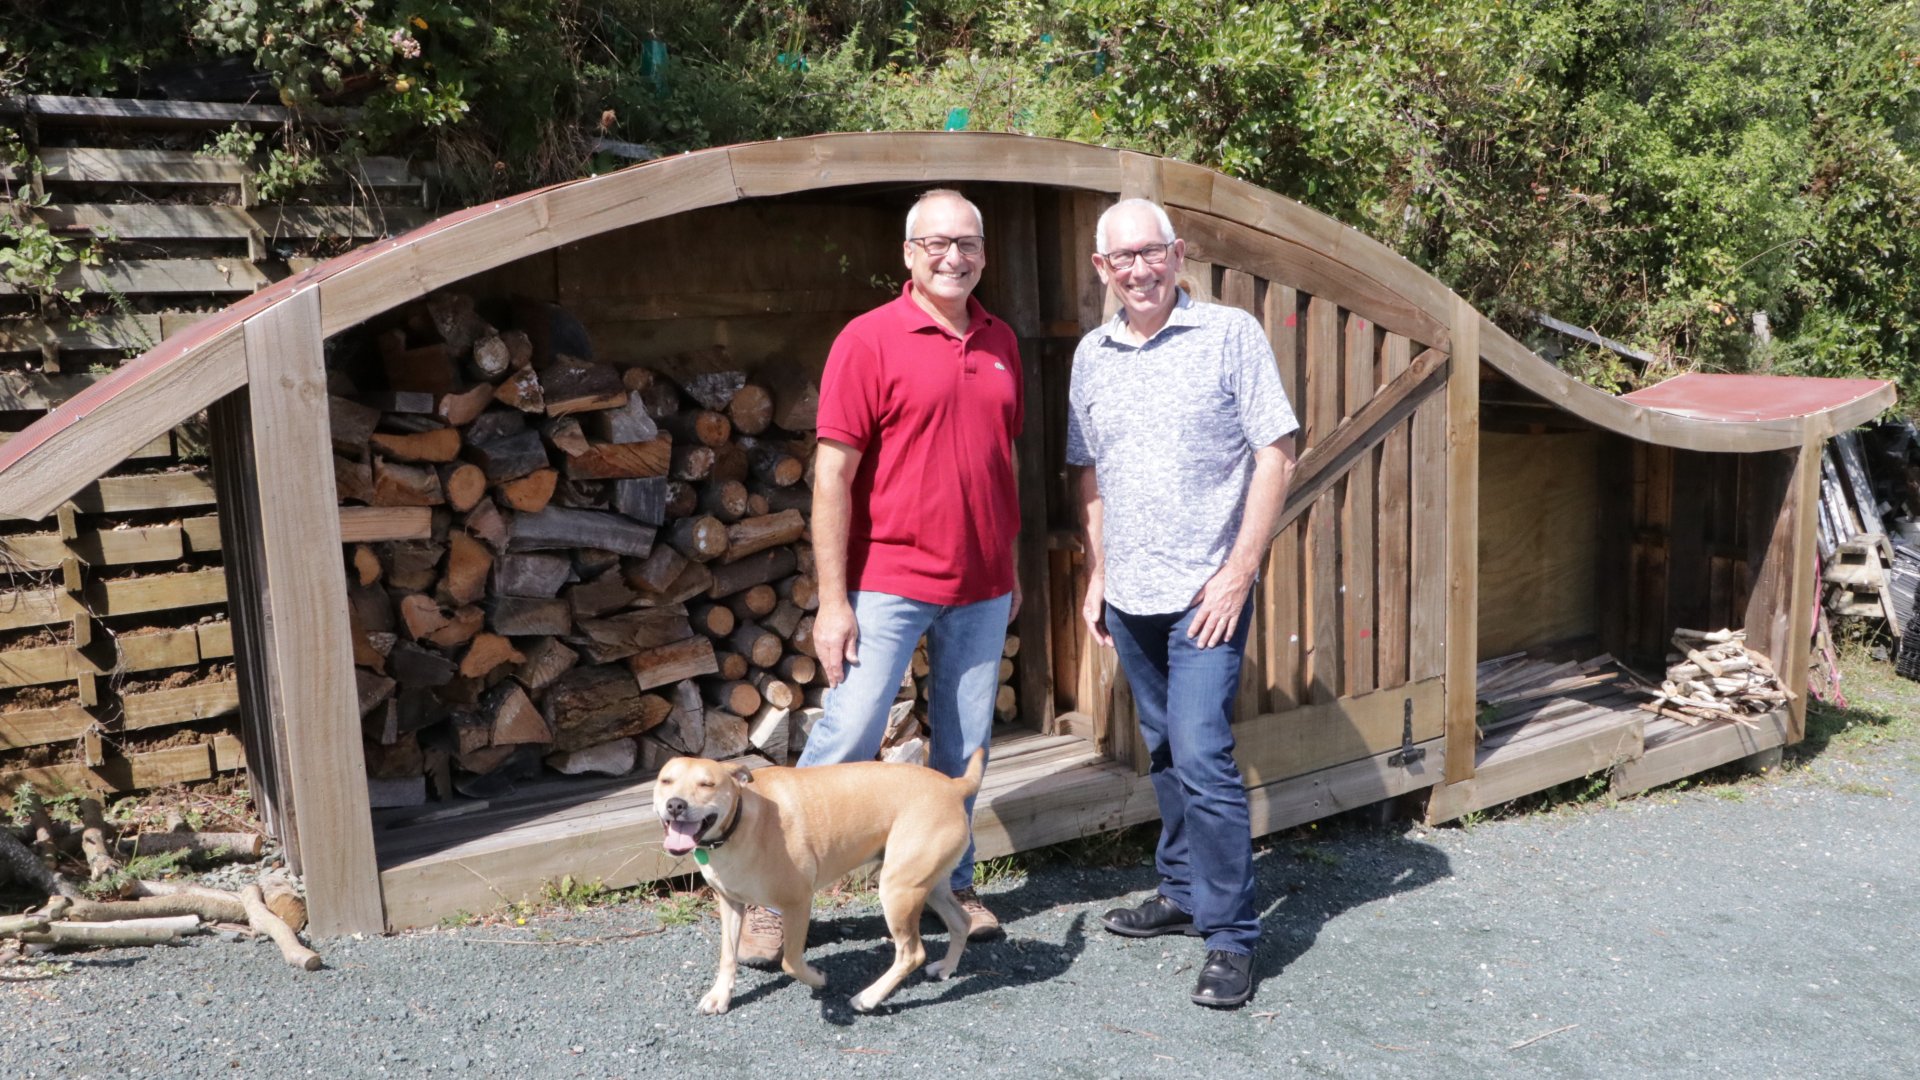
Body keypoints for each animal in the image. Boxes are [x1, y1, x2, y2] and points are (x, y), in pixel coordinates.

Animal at [660, 749, 990, 1006]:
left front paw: (817, 979)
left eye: (707, 784)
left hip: (899, 890)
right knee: (961, 921)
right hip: (929, 884)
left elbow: (791, 962)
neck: (741, 823)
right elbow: (727, 955)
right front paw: (720, 996)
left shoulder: (798, 903)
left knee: (911, 954)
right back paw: (946, 967)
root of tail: (954, 786)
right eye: (666, 781)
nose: (675, 804)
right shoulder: (731, 904)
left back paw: (869, 998)